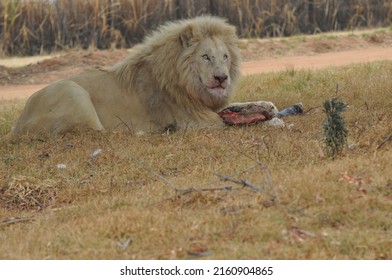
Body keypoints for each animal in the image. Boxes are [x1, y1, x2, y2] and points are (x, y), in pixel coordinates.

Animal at [10, 16, 278, 137]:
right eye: (205, 57)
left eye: (225, 56)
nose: (222, 78)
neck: (189, 84)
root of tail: (18, 124)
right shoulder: (194, 121)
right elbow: (230, 122)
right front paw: (270, 120)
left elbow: (240, 107)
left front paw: (268, 107)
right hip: (73, 91)